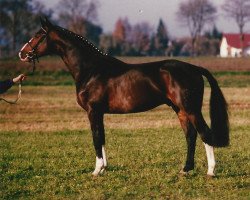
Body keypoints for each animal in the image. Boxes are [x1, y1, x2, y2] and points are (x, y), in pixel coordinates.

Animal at [18, 17, 229, 177]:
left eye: (38, 35)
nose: (22, 53)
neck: (91, 70)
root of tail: (194, 68)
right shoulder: (99, 113)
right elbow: (102, 137)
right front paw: (104, 168)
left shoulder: (93, 111)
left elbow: (96, 138)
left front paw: (96, 171)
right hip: (180, 110)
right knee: (191, 136)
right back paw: (186, 169)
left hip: (191, 109)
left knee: (205, 133)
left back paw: (211, 171)